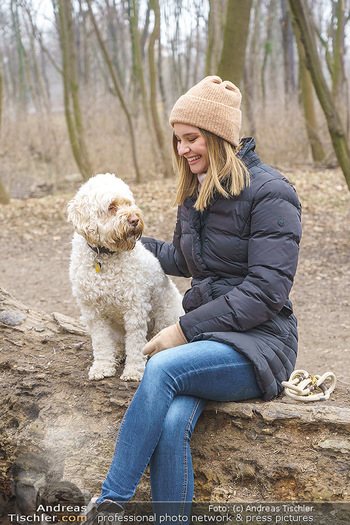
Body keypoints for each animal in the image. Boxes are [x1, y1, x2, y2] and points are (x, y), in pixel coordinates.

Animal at [67, 174, 185, 378]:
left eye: (128, 203)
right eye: (111, 206)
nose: (135, 219)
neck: (104, 255)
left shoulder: (135, 308)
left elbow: (136, 344)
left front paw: (134, 371)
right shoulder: (93, 312)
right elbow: (100, 342)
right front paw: (102, 366)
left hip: (165, 317)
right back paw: (118, 352)